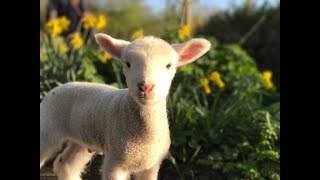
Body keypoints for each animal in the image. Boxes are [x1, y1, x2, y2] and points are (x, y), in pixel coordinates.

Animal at [40, 32, 211, 180]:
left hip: (82, 139)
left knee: (65, 164)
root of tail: (58, 87)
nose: (145, 87)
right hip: (48, 130)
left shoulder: (151, 166)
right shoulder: (115, 162)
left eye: (168, 65)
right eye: (127, 64)